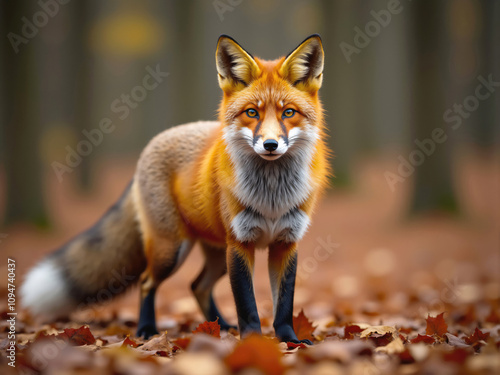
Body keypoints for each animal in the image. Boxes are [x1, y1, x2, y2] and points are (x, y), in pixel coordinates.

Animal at [21, 34, 330, 344]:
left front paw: (289, 340)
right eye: (252, 113)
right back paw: (148, 329)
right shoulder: (240, 244)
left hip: (217, 254)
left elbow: (284, 303)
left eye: (288, 112)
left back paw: (219, 326)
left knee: (197, 285)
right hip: (171, 250)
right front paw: (253, 342)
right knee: (148, 282)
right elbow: (247, 305)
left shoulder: (286, 243)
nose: (270, 145)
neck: (272, 197)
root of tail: (153, 142)